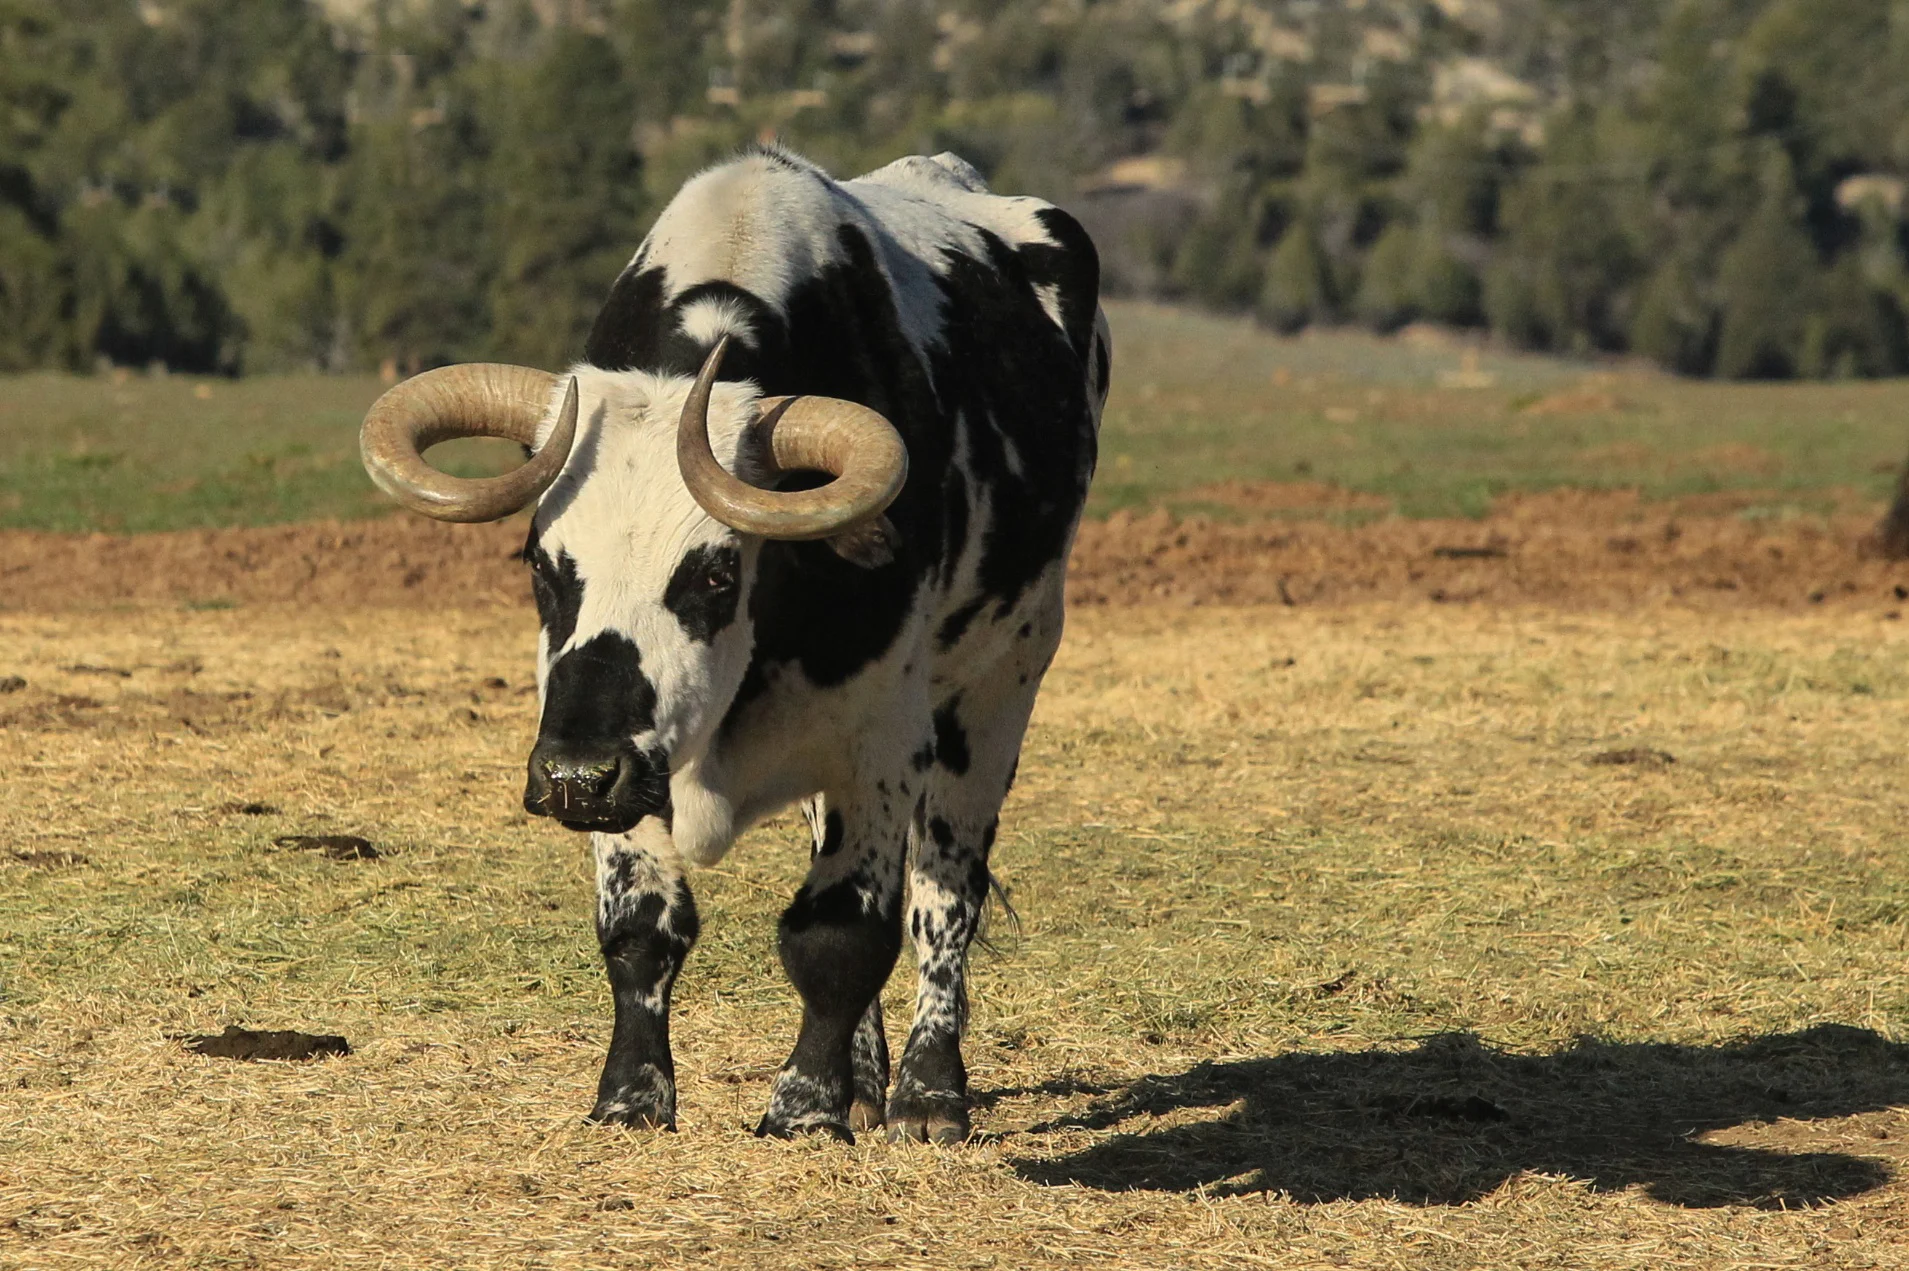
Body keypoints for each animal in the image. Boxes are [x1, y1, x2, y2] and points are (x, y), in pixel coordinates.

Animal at [359, 145, 1110, 1143]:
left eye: (714, 574)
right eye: (541, 564)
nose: (571, 777)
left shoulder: (877, 737)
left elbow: (842, 932)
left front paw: (804, 1107)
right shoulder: (635, 753)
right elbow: (642, 927)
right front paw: (632, 1095)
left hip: (999, 687)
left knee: (944, 891)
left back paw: (923, 1090)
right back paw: (866, 1077)